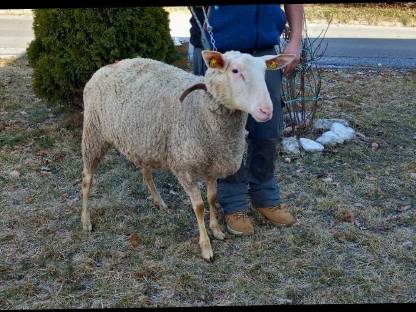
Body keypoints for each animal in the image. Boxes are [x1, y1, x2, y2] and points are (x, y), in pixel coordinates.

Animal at [81, 50, 294, 260]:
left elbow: (212, 198)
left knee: (145, 173)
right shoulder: (185, 168)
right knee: (86, 181)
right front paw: (206, 246)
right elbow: (199, 206)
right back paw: (85, 220)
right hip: (93, 134)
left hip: (142, 141)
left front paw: (217, 230)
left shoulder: (212, 166)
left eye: (265, 72)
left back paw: (159, 202)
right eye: (235, 71)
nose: (266, 111)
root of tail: (107, 66)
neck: (201, 108)